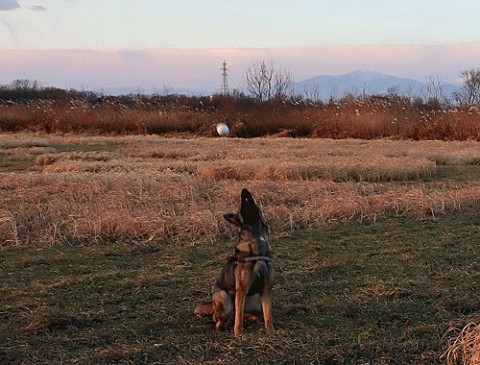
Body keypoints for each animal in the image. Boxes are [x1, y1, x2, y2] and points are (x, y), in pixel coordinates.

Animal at [195, 188, 276, 336]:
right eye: (241, 207)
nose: (244, 190)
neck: (256, 242)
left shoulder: (267, 290)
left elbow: (268, 315)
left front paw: (271, 331)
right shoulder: (242, 290)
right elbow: (238, 317)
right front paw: (238, 334)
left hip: (255, 301)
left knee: (249, 313)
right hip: (224, 298)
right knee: (221, 317)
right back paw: (223, 325)